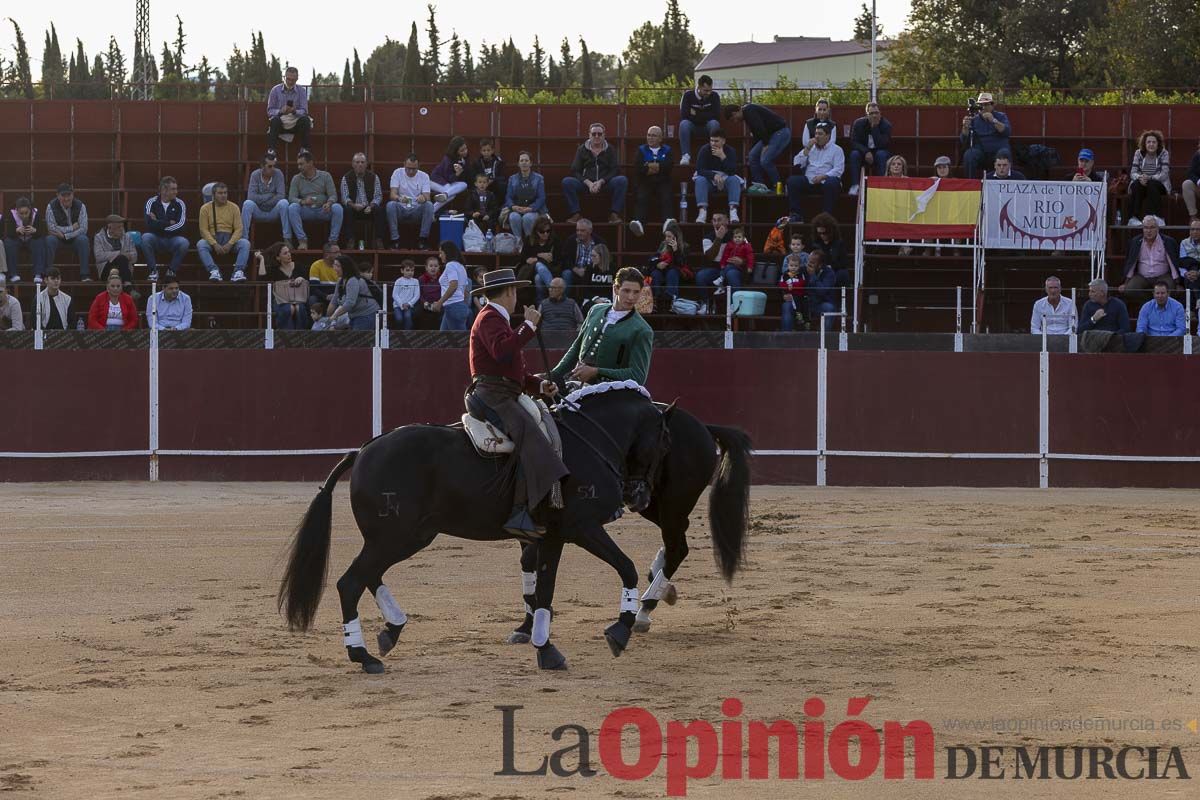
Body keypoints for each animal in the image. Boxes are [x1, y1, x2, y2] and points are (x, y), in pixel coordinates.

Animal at [280, 383, 676, 671]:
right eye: (663, 441)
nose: (638, 497)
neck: (586, 442)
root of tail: (362, 451)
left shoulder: (551, 537)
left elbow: (544, 591)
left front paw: (544, 647)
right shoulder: (582, 528)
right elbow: (623, 567)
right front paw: (617, 632)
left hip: (403, 537)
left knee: (368, 576)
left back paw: (391, 630)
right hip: (395, 537)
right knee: (350, 583)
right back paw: (363, 656)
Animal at [506, 407, 748, 642]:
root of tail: (703, 427)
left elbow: (530, 560)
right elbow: (528, 562)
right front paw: (526, 626)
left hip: (671, 503)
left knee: (678, 547)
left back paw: (645, 608)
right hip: (649, 504)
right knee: (679, 535)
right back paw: (658, 583)